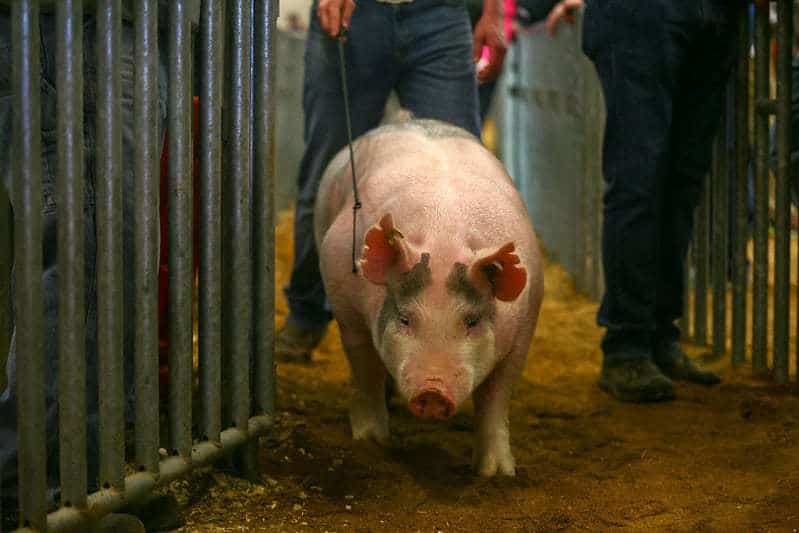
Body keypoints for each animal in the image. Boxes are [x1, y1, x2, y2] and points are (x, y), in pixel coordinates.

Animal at [315, 118, 543, 477]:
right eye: (405, 318)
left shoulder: (525, 327)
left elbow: (496, 397)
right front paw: (373, 443)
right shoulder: (344, 301)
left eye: (471, 321)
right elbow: (365, 370)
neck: (443, 233)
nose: (433, 392)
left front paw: (497, 474)